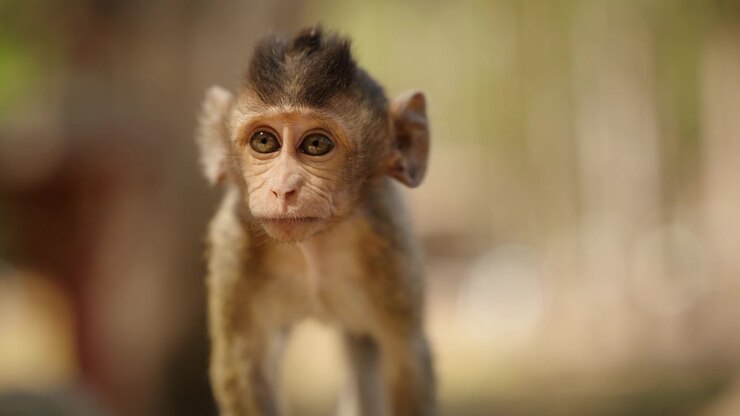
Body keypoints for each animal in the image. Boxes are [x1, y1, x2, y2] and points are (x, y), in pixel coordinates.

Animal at [195, 26, 434, 416]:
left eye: (317, 144)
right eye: (264, 141)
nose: (282, 189)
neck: (312, 248)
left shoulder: (390, 242)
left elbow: (405, 360)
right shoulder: (233, 245)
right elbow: (245, 364)